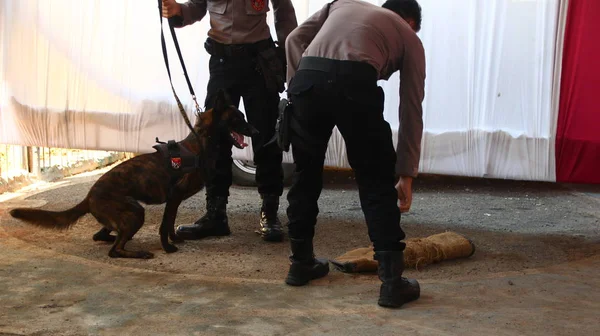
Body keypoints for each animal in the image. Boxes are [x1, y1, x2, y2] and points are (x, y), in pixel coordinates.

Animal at [8, 90, 258, 260]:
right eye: (237, 118)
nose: (256, 131)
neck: (200, 143)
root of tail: (89, 197)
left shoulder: (174, 201)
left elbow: (170, 224)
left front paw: (175, 239)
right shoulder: (174, 197)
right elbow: (164, 225)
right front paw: (168, 247)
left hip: (124, 215)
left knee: (103, 236)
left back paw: (120, 238)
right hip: (136, 211)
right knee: (114, 250)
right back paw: (138, 252)